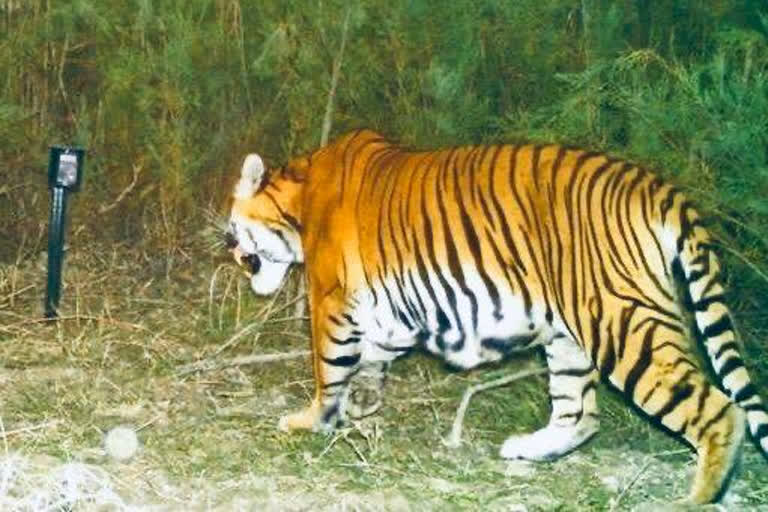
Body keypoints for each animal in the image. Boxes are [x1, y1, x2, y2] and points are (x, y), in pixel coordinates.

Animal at [226, 129, 768, 504]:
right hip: (570, 335)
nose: (230, 249)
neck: (298, 200)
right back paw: (527, 449)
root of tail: (657, 187)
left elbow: (330, 365)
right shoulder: (389, 310)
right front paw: (361, 403)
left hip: (621, 321)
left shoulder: (332, 301)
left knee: (721, 410)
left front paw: (311, 419)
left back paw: (697, 500)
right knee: (581, 413)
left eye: (234, 229)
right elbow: (372, 358)